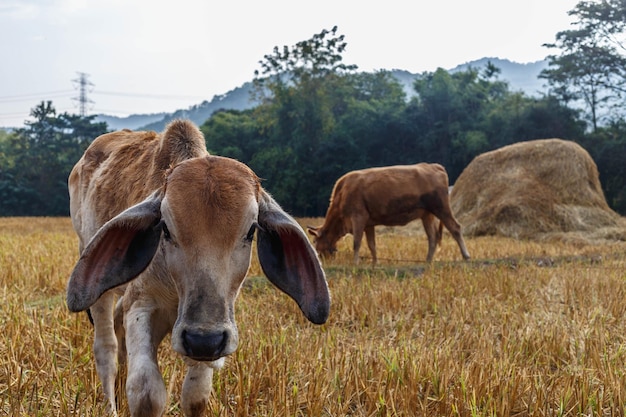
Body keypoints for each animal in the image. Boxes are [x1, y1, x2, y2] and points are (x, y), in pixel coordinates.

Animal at [67, 119, 332, 416]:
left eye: (251, 230)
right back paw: (111, 405)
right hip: (94, 276)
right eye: (165, 228)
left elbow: (196, 396)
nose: (202, 339)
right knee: (107, 348)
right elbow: (147, 393)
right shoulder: (142, 303)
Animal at [308, 162, 468, 264]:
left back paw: (466, 256)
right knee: (432, 237)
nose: (317, 257)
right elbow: (372, 245)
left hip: (441, 208)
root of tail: (434, 166)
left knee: (455, 228)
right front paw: (375, 263)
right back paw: (427, 261)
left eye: (314, 241)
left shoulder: (358, 217)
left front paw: (355, 263)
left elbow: (357, 243)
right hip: (427, 214)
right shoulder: (368, 223)